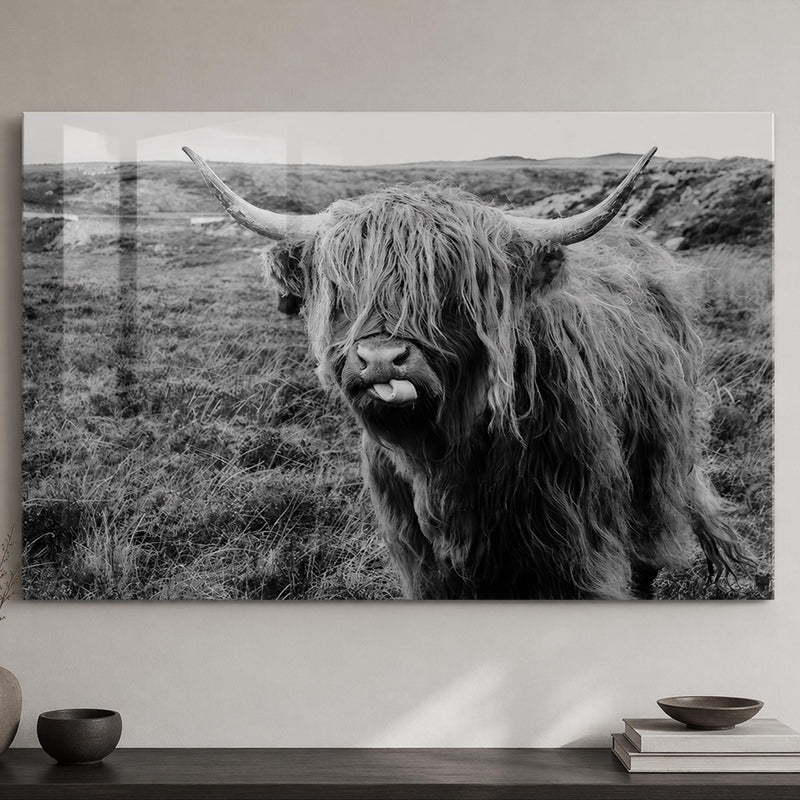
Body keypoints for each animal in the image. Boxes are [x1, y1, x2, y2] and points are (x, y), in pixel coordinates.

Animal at [184, 145, 751, 599]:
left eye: (452, 292)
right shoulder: (424, 562)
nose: (382, 359)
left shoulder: (573, 551)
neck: (445, 460)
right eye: (344, 291)